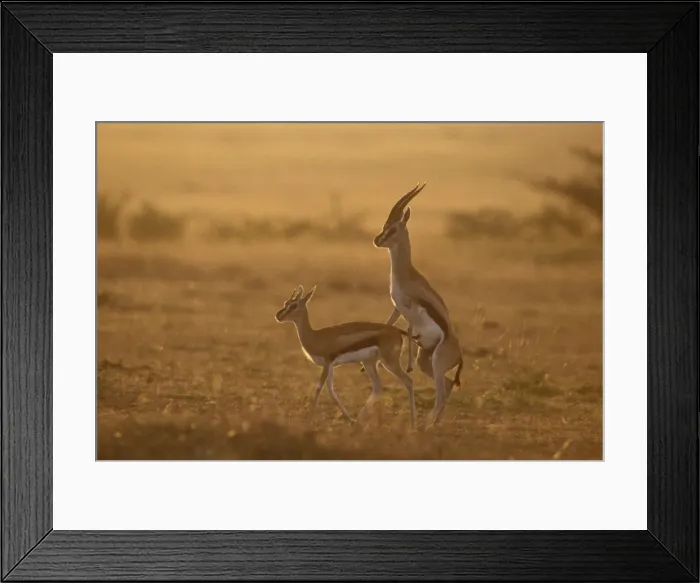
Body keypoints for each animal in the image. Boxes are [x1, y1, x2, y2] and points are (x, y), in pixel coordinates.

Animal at [275, 285, 416, 428]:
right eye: (286, 303)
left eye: (294, 305)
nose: (278, 316)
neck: (316, 337)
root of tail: (397, 331)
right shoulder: (330, 366)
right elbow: (331, 391)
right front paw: (350, 420)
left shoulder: (327, 363)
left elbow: (319, 388)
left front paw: (308, 421)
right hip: (369, 362)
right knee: (377, 387)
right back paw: (359, 422)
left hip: (389, 361)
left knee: (408, 381)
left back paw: (412, 424)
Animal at [372, 182, 464, 428]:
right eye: (385, 225)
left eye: (393, 228)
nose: (377, 240)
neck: (406, 274)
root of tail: (459, 353)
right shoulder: (397, 306)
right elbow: (388, 323)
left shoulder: (412, 307)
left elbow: (410, 327)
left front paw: (408, 362)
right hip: (428, 363)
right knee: (448, 386)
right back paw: (433, 424)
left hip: (437, 363)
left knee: (441, 394)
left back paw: (424, 426)